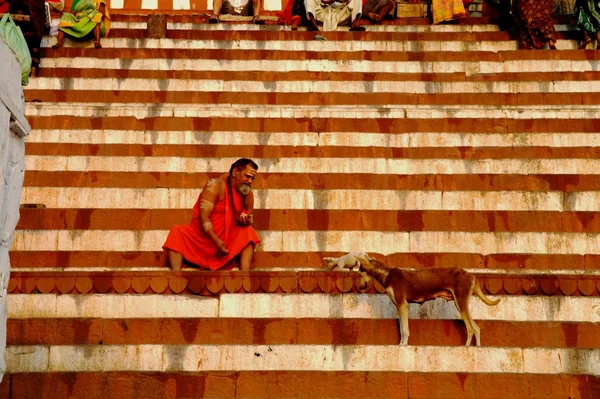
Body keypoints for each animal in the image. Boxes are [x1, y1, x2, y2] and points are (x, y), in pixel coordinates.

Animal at [356, 260, 502, 346]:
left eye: (361, 271)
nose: (360, 287)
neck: (387, 275)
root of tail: (471, 275)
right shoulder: (399, 306)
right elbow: (402, 328)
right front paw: (401, 344)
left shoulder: (403, 305)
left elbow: (405, 330)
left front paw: (404, 345)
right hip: (460, 303)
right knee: (476, 328)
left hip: (460, 302)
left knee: (472, 328)